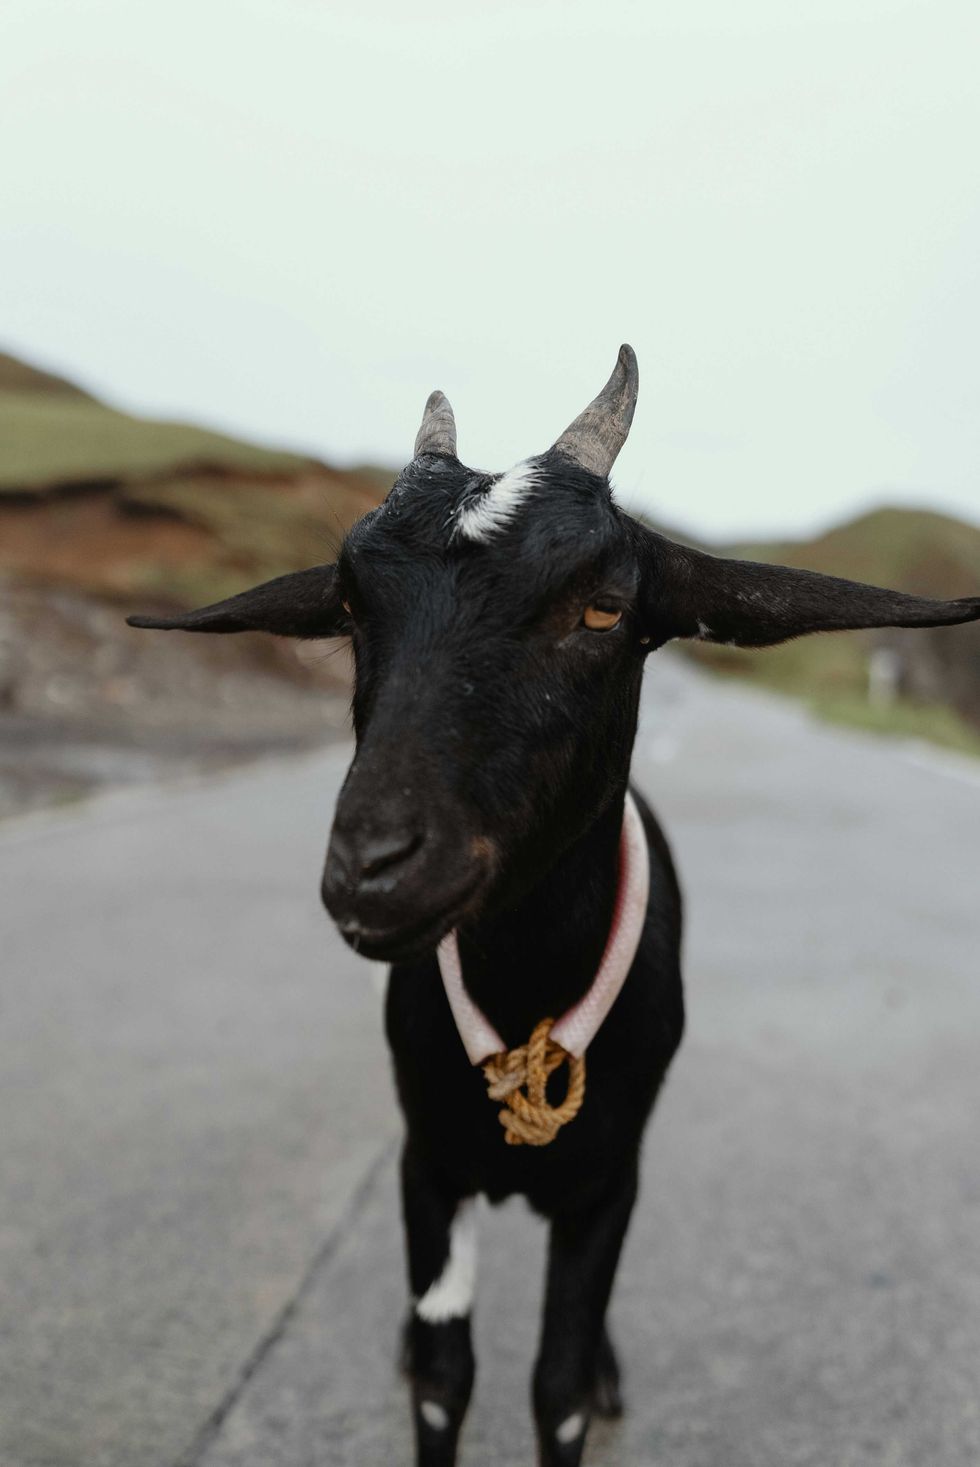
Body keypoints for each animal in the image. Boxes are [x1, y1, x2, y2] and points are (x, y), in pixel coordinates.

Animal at [128, 346, 980, 1467]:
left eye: (604, 606)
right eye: (350, 605)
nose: (372, 866)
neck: (528, 987)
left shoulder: (605, 1184)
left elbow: (559, 1382)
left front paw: (590, 1379)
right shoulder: (426, 1165)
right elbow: (445, 1377)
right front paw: (424, 1365)